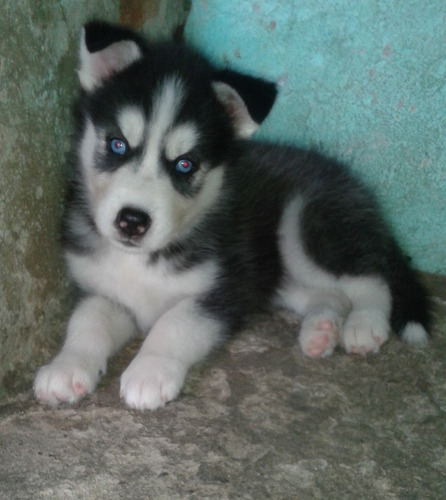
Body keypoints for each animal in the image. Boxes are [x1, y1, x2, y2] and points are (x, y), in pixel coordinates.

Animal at [34, 21, 428, 410]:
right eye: (117, 144)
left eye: (185, 164)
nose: (132, 220)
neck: (142, 259)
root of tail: (352, 186)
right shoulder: (103, 292)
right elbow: (86, 322)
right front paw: (66, 366)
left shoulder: (223, 291)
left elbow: (174, 323)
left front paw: (149, 371)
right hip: (276, 273)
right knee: (329, 295)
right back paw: (321, 331)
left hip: (304, 227)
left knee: (371, 279)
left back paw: (364, 325)